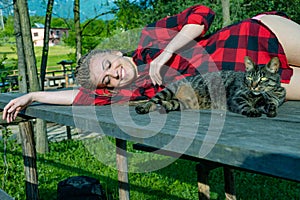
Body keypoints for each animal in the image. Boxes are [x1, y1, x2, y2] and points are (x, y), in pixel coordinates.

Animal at [135, 56, 286, 117]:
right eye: (249, 78)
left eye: (263, 78)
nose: (253, 87)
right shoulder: (236, 97)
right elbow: (245, 105)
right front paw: (252, 110)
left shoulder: (272, 100)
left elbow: (271, 104)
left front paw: (271, 109)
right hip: (168, 91)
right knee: (152, 100)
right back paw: (143, 107)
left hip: (183, 103)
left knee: (169, 104)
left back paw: (163, 106)